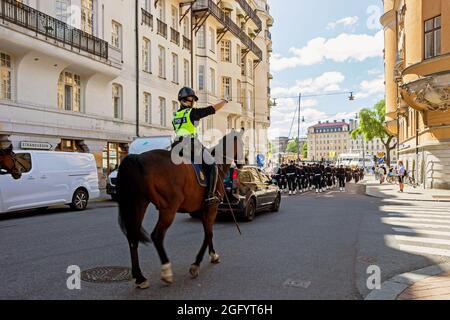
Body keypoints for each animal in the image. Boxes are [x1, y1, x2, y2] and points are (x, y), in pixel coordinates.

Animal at [116, 129, 243, 288]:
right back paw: (166, 272)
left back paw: (140, 277)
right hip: (168, 209)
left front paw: (212, 255)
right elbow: (209, 234)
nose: (243, 164)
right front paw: (196, 264)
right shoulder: (211, 208)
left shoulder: (203, 210)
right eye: (243, 143)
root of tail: (137, 158)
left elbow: (208, 233)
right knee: (157, 236)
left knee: (133, 237)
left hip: (139, 204)